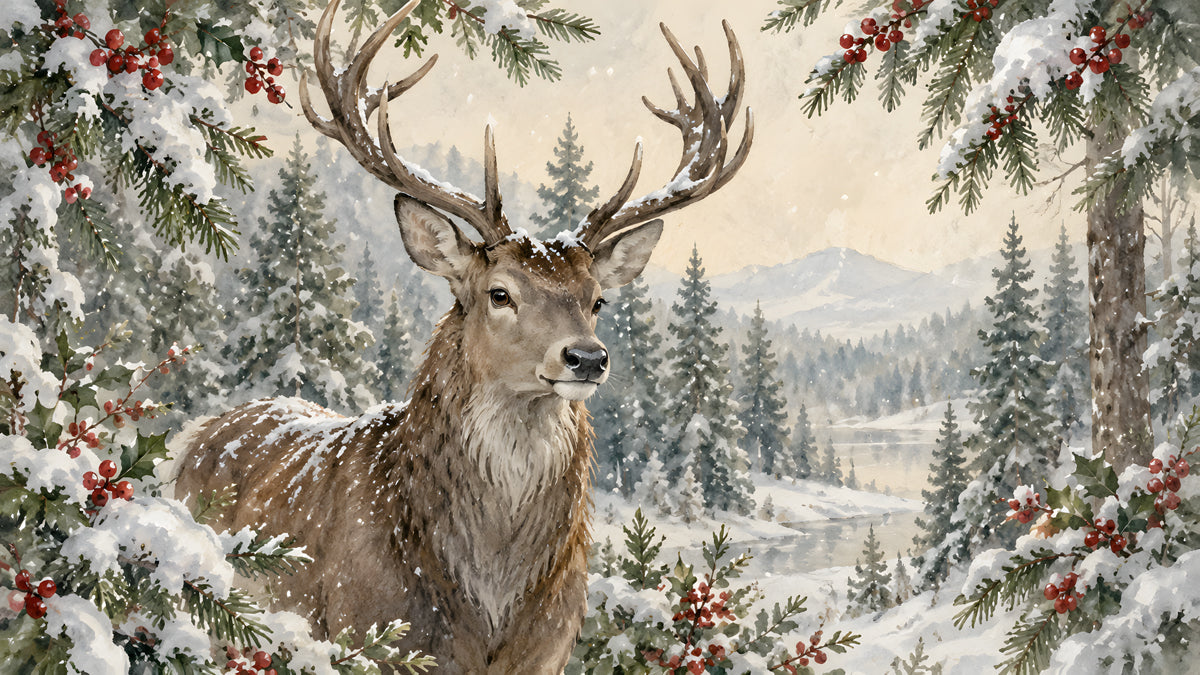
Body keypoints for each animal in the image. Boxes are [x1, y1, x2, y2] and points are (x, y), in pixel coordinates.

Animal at [176, 0, 751, 671]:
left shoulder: (551, 649)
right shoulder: (361, 630)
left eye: (597, 300)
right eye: (500, 293)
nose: (586, 357)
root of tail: (192, 436)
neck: (488, 612)